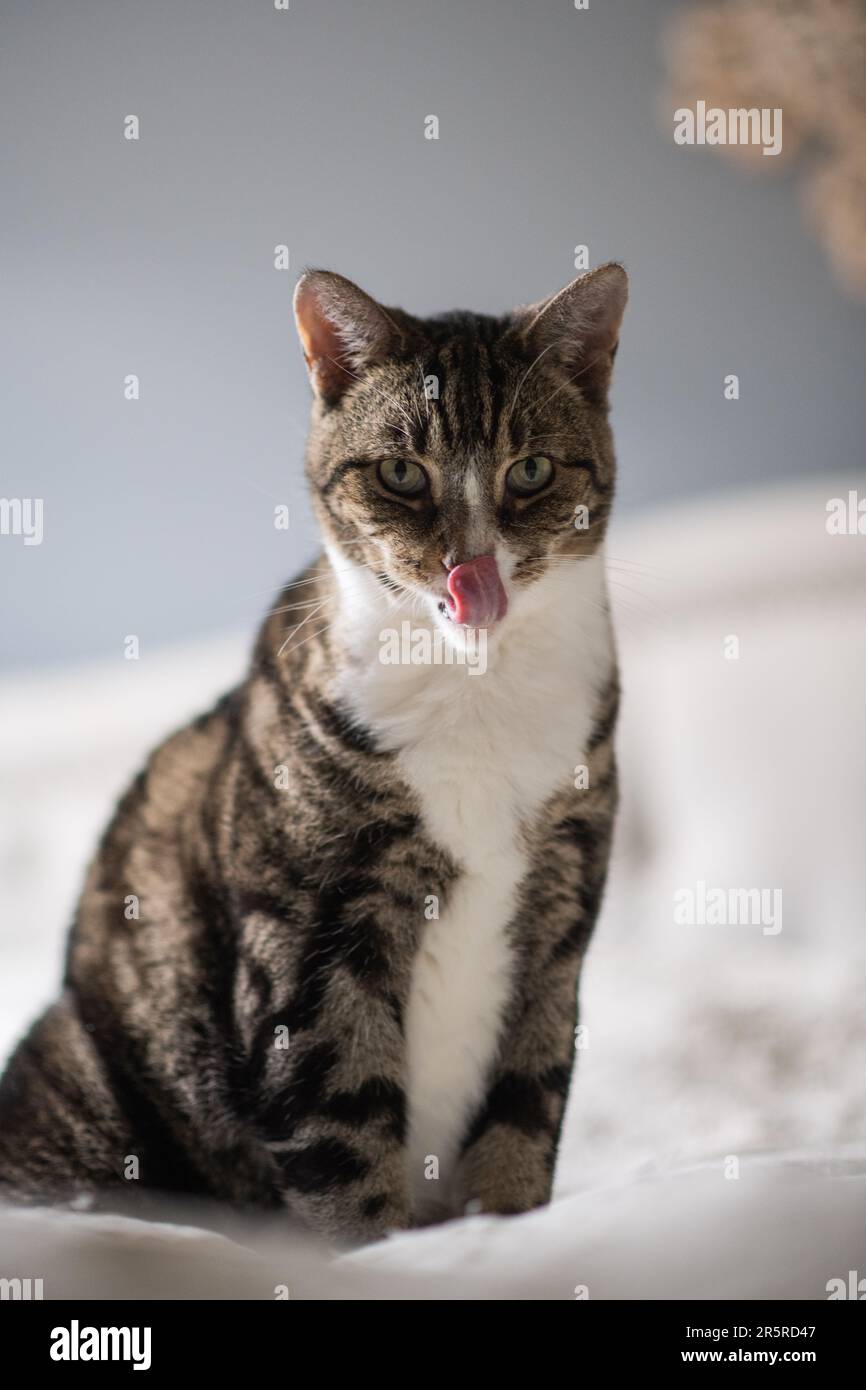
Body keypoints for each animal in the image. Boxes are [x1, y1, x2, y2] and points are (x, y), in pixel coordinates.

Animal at [0, 261, 625, 1239]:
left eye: (530, 470)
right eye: (402, 472)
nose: (470, 567)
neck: (474, 686)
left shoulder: (561, 909)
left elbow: (526, 1105)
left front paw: (503, 1234)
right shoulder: (311, 935)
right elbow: (342, 1129)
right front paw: (384, 1254)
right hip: (85, 1079)